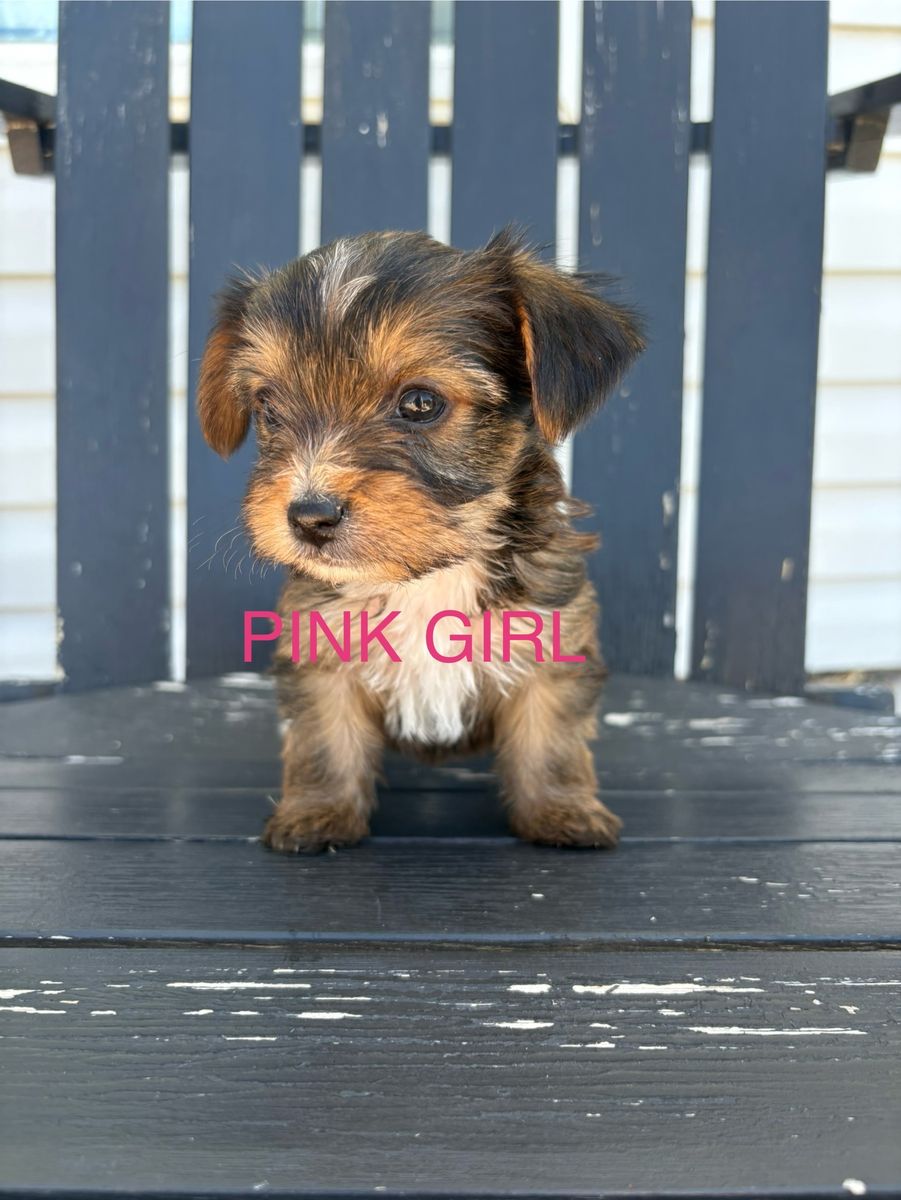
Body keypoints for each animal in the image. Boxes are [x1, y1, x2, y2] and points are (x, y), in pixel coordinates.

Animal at [196, 229, 644, 852]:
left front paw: (561, 810)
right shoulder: (321, 649)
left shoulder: (552, 638)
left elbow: (550, 739)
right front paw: (318, 813)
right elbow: (323, 740)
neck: (429, 571)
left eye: (420, 403)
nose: (309, 515)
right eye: (266, 407)